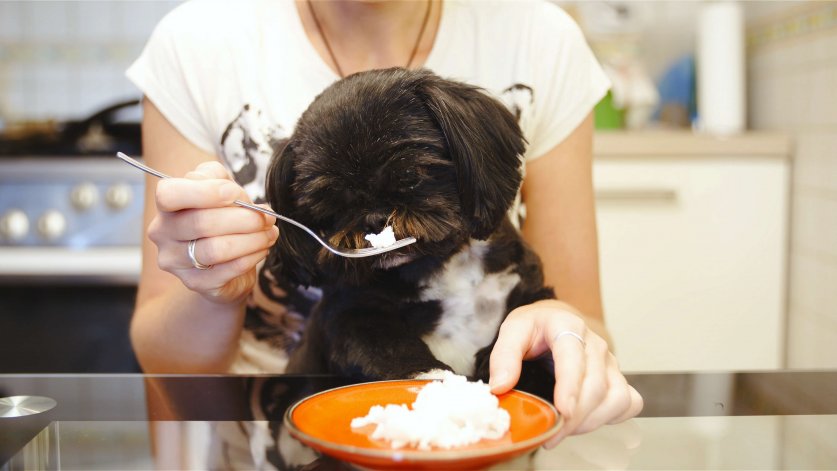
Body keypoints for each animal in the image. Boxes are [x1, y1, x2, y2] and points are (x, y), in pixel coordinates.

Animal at [266, 68, 556, 386]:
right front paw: (433, 375)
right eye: (332, 205)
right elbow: (389, 346)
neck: (440, 265)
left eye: (409, 175)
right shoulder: (350, 313)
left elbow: (527, 342)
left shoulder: (526, 289)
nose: (374, 219)